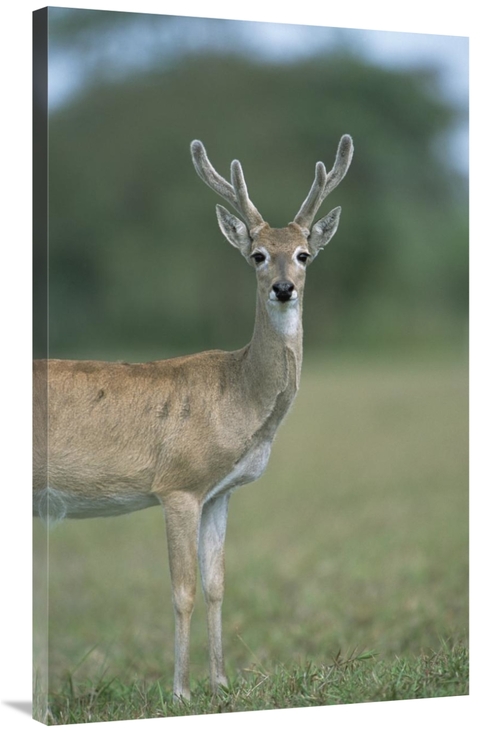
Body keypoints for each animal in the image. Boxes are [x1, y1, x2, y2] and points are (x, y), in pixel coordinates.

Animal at [33, 135, 354, 701]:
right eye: (257, 255)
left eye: (304, 254)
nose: (284, 287)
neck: (237, 395)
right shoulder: (177, 486)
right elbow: (181, 589)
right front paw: (181, 691)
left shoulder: (219, 492)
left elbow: (216, 585)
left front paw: (221, 683)